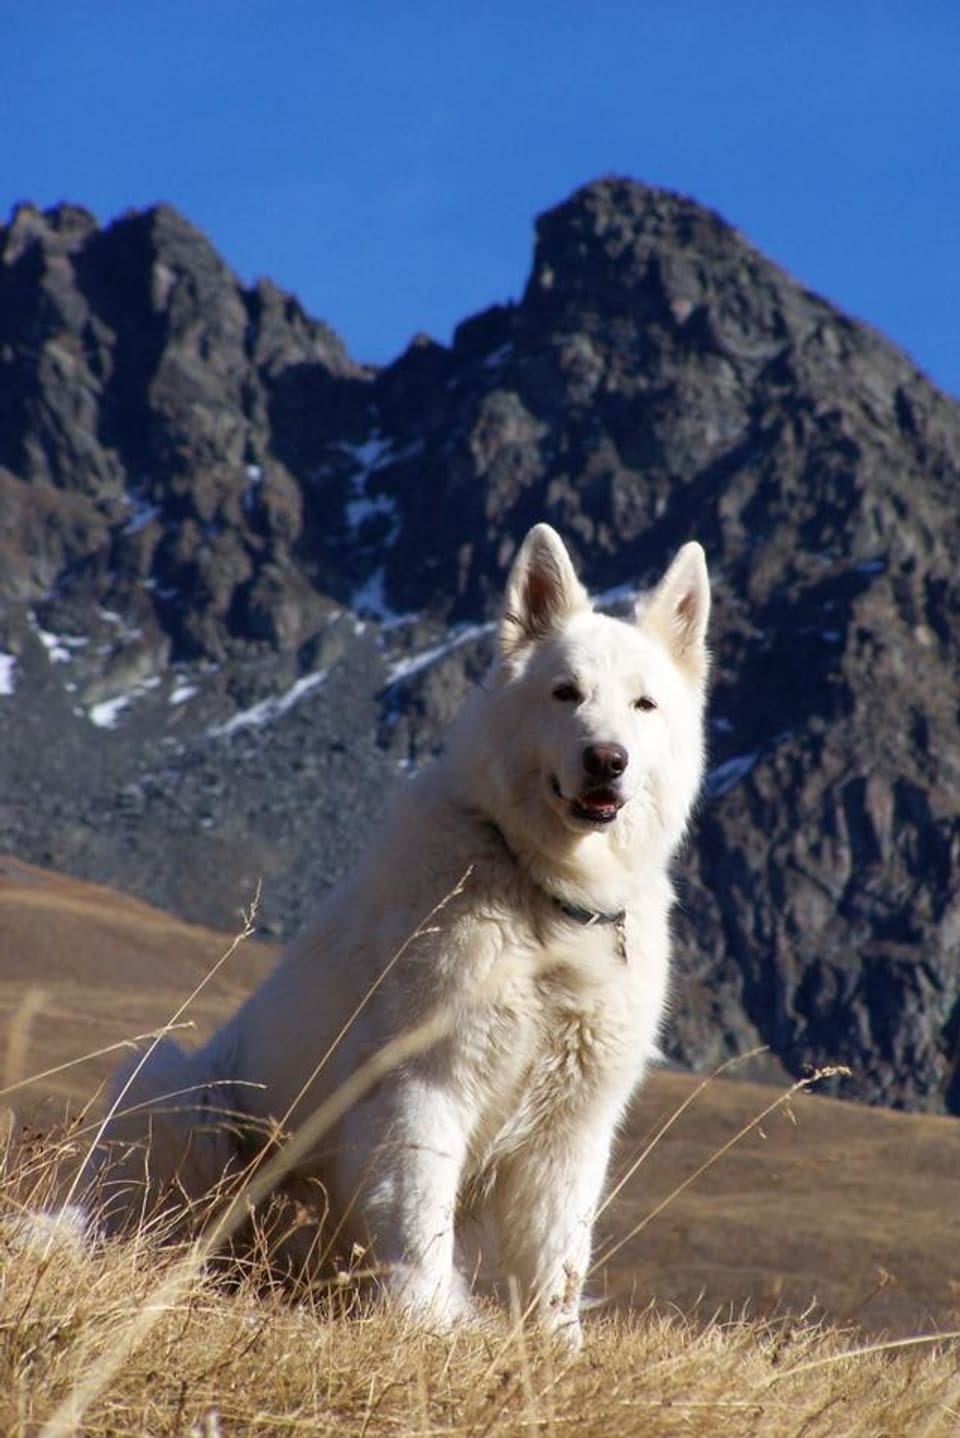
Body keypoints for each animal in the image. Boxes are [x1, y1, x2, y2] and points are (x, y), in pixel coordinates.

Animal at [99, 523, 712, 1340]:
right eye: (565, 693)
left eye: (644, 705)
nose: (605, 762)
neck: (546, 900)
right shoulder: (423, 1089)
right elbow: (420, 1230)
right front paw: (427, 1332)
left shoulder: (572, 1130)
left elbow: (557, 1265)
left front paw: (556, 1352)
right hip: (170, 1086)